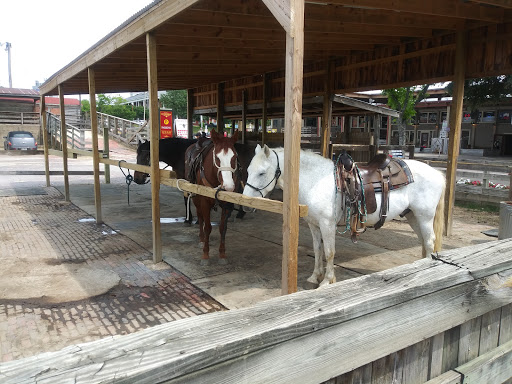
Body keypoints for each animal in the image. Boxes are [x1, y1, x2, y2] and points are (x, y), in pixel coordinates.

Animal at [184, 129, 240, 264]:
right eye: (217, 158)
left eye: (235, 157)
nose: (228, 186)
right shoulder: (204, 201)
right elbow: (208, 227)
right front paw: (205, 254)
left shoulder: (226, 204)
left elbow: (222, 228)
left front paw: (222, 254)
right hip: (196, 198)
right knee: (200, 216)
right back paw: (201, 239)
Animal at [243, 145, 444, 288]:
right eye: (247, 170)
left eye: (261, 172)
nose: (245, 205)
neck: (316, 181)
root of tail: (438, 173)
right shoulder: (313, 225)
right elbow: (317, 250)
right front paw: (315, 276)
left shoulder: (327, 225)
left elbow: (329, 252)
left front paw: (327, 281)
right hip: (413, 216)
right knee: (423, 241)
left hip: (424, 216)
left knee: (429, 241)